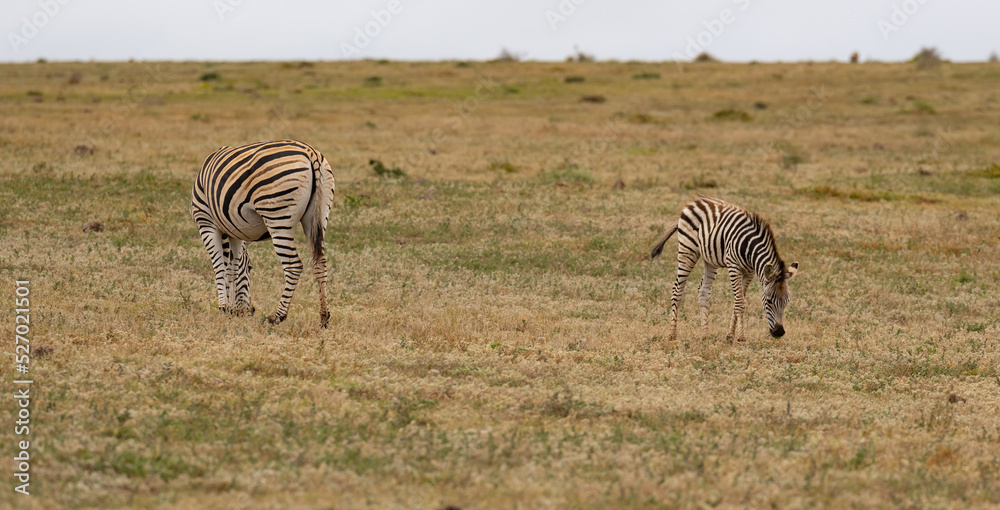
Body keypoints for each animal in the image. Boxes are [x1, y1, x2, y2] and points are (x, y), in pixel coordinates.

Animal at [191, 140, 336, 327]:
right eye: (251, 268)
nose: (250, 311)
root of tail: (312, 153)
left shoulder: (206, 223)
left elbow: (220, 267)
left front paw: (224, 309)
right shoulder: (235, 232)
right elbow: (233, 267)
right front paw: (232, 310)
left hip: (277, 215)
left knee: (293, 266)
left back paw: (278, 316)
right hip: (318, 216)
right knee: (320, 262)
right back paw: (324, 316)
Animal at [649, 196, 798, 342]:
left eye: (786, 301)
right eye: (769, 301)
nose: (779, 332)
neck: (750, 248)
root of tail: (693, 202)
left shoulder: (749, 272)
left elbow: (738, 300)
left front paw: (730, 335)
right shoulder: (733, 266)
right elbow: (740, 302)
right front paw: (741, 337)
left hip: (710, 259)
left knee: (703, 291)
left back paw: (705, 334)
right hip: (687, 250)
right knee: (677, 290)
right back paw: (672, 335)